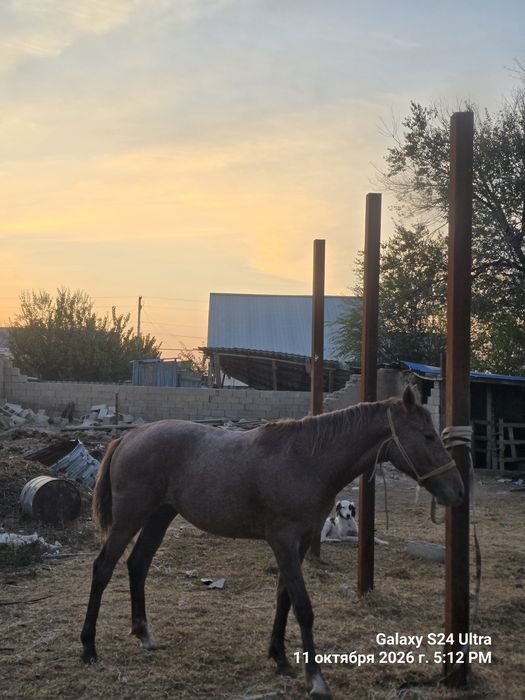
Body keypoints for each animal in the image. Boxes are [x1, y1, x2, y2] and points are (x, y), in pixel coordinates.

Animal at [80, 386, 463, 698]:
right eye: (428, 436)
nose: (458, 491)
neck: (306, 460)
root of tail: (129, 437)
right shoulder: (283, 541)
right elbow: (303, 606)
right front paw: (316, 680)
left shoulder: (299, 543)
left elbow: (284, 598)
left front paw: (280, 658)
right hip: (130, 518)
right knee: (103, 568)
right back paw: (88, 648)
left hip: (160, 515)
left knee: (137, 564)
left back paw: (143, 634)